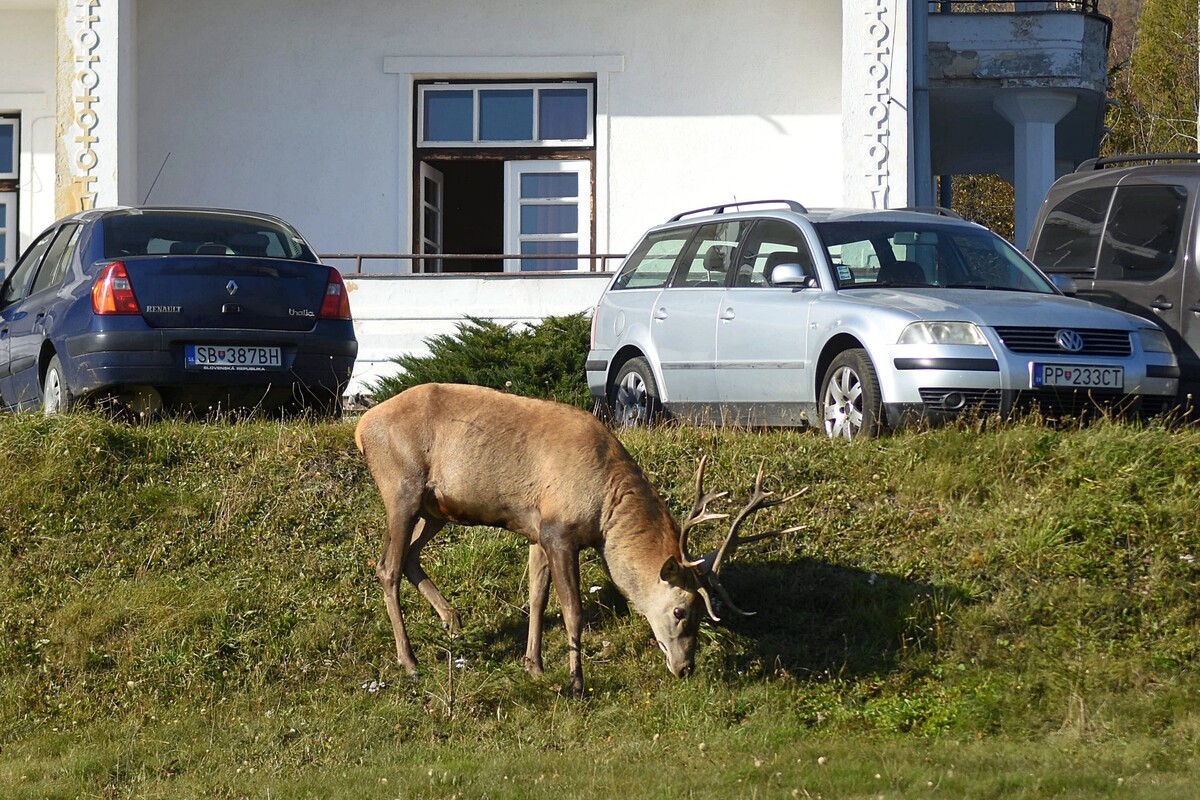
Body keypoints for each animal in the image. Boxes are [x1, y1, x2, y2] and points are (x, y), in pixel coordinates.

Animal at [355, 381, 806, 695]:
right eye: (681, 610)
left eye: (702, 610)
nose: (685, 667)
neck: (604, 509)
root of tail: (361, 427)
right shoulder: (559, 530)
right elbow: (573, 610)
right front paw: (576, 683)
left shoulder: (535, 529)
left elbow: (536, 596)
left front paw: (534, 665)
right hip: (401, 488)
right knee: (386, 567)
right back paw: (410, 660)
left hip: (436, 509)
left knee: (408, 557)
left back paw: (453, 619)